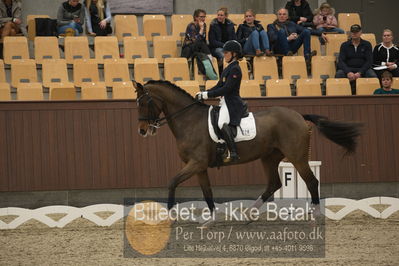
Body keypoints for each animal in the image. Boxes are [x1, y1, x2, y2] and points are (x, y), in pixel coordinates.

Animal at [134, 80, 362, 214]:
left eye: (144, 103)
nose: (143, 131)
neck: (190, 120)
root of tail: (299, 115)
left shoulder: (196, 163)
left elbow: (172, 182)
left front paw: (169, 213)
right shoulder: (199, 167)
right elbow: (207, 192)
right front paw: (210, 220)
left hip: (296, 157)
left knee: (312, 182)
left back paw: (313, 214)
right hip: (269, 157)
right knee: (274, 184)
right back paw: (249, 214)